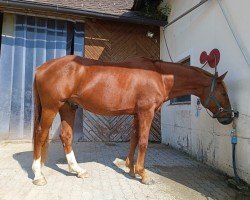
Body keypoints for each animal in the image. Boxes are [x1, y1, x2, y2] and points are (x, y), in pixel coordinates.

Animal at [31, 55, 232, 186]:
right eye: (223, 92)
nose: (230, 116)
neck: (159, 75)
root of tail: (41, 68)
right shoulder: (146, 112)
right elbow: (143, 142)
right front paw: (143, 174)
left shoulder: (137, 114)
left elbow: (134, 139)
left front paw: (131, 168)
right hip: (51, 107)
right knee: (40, 135)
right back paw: (38, 175)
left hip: (67, 107)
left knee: (66, 136)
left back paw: (78, 170)